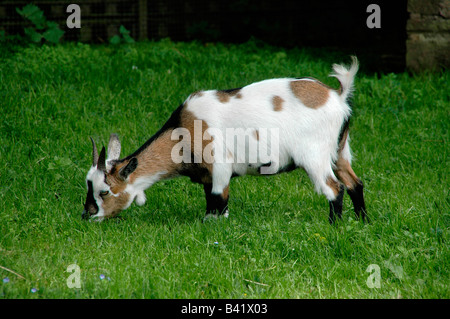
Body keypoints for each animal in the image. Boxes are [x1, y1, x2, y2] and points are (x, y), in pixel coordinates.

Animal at [82, 56, 368, 224]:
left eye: (104, 191)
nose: (87, 215)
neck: (183, 132)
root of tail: (338, 96)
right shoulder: (208, 176)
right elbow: (214, 203)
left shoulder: (219, 167)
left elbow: (218, 202)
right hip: (340, 149)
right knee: (355, 183)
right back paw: (362, 222)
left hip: (314, 155)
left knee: (334, 188)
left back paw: (334, 226)